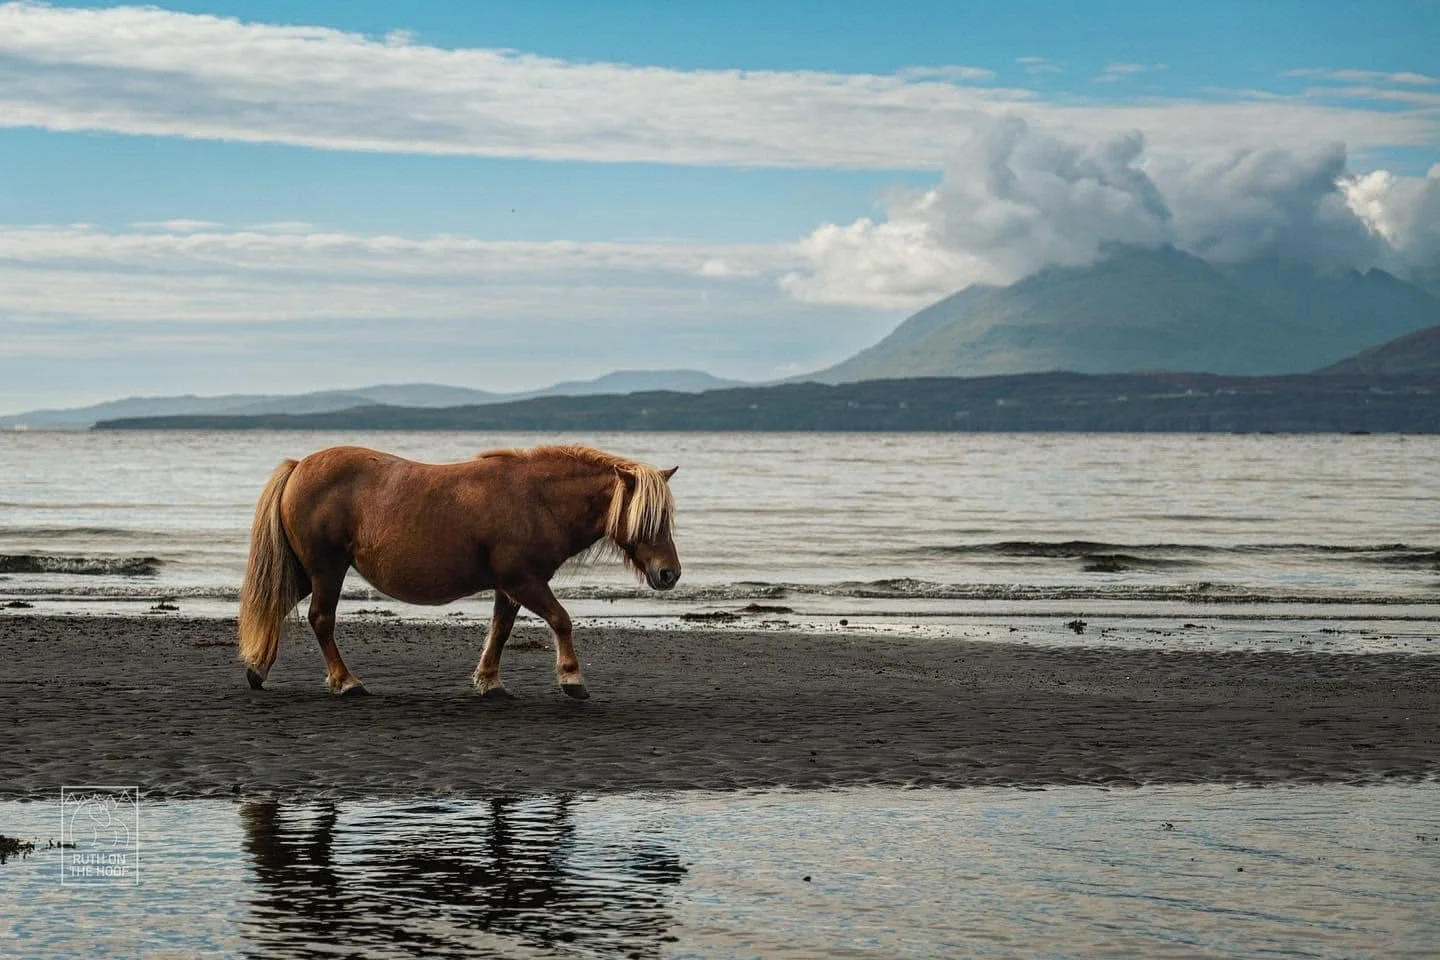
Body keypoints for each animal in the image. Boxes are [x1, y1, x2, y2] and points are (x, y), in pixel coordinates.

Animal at [237, 444, 680, 699]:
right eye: (647, 519)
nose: (669, 574)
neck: (535, 499)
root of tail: (299, 466)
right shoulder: (525, 581)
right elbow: (561, 620)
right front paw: (572, 680)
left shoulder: (510, 587)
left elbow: (500, 631)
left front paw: (489, 681)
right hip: (327, 570)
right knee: (321, 619)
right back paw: (346, 682)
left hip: (305, 572)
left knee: (278, 608)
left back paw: (258, 669)